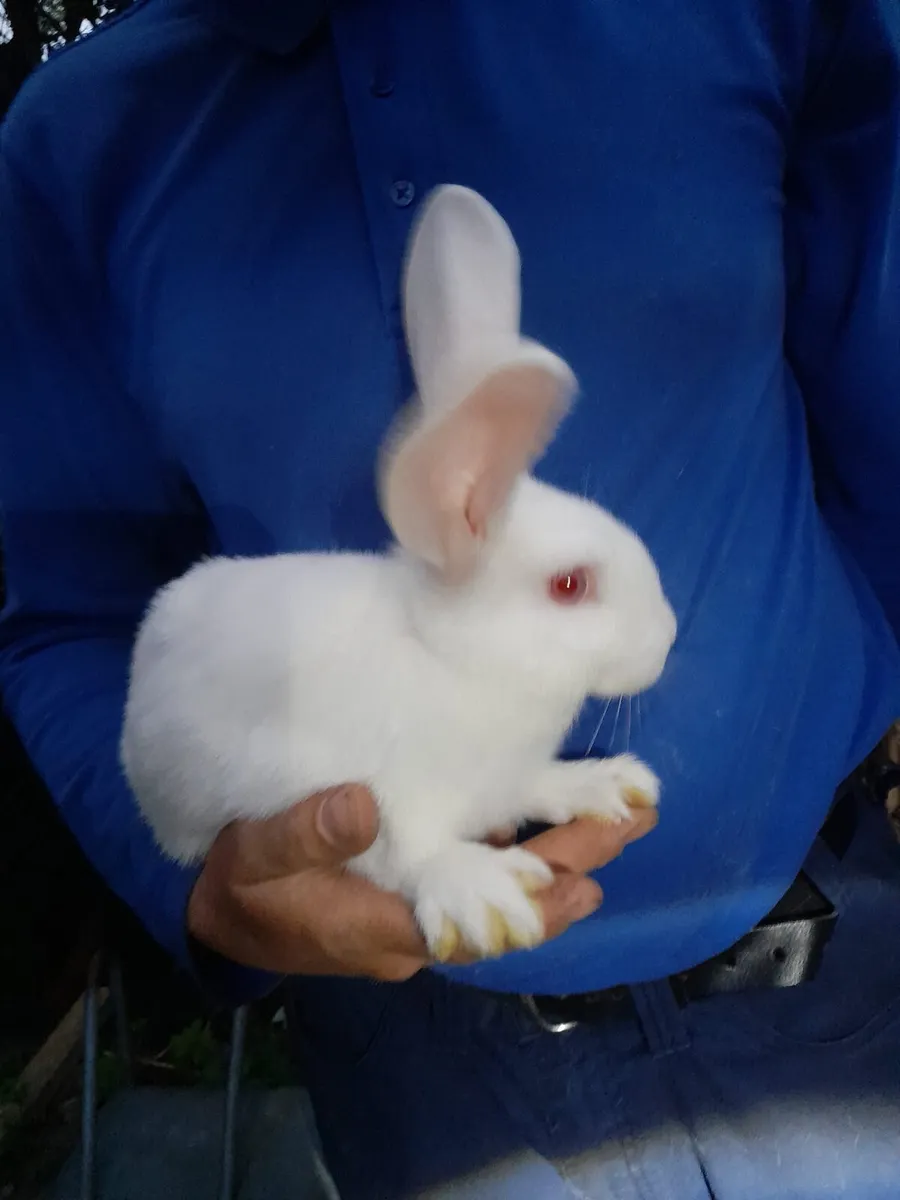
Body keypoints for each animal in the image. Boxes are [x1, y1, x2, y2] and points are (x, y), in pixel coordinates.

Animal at [120, 185, 677, 962]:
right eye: (570, 586)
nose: (668, 636)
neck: (454, 662)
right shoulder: (364, 796)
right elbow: (407, 857)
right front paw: (486, 898)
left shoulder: (508, 776)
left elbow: (536, 784)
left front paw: (605, 785)